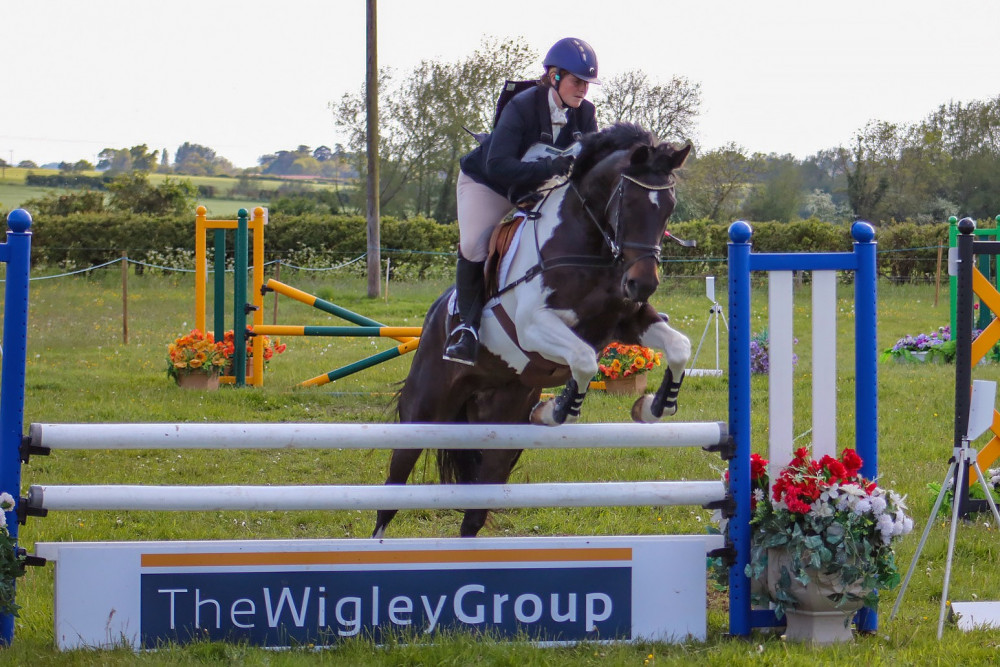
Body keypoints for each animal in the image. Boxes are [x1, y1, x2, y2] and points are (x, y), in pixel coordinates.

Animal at [372, 125, 692, 540]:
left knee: (473, 513)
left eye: (668, 207)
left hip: (500, 431)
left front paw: (654, 406)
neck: (589, 247)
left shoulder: (627, 321)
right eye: (630, 203)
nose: (644, 284)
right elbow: (584, 361)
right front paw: (556, 410)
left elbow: (679, 347)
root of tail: (433, 319)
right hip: (423, 414)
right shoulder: (533, 327)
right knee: (391, 494)